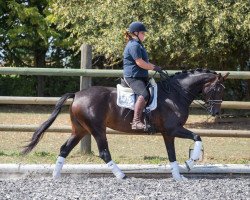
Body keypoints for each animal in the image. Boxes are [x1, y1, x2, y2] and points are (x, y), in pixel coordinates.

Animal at [22, 69, 229, 181]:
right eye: (216, 88)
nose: (215, 113)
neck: (176, 93)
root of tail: (77, 94)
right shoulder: (172, 130)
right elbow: (192, 140)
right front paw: (189, 164)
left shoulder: (168, 132)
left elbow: (179, 149)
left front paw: (180, 174)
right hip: (97, 129)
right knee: (104, 152)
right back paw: (121, 175)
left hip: (80, 130)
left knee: (64, 148)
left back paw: (55, 175)